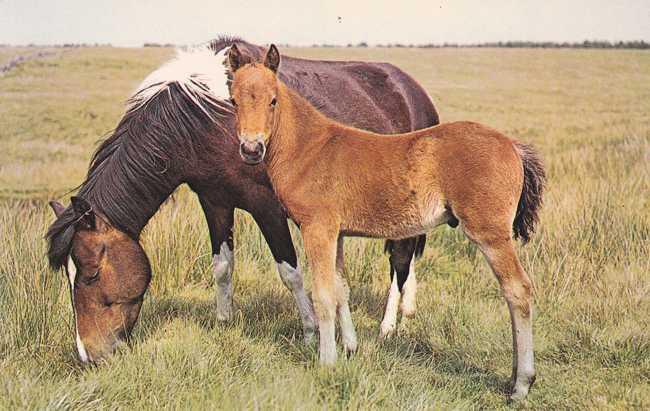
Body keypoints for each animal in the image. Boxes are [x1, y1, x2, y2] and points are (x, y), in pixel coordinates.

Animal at [45, 37, 438, 362]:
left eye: (92, 274)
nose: (88, 355)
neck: (203, 121)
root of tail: (414, 90)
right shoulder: (215, 202)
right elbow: (222, 266)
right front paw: (223, 320)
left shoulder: (268, 208)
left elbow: (290, 272)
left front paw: (310, 331)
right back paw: (407, 307)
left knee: (401, 259)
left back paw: (388, 324)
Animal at [228, 45, 540, 402]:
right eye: (233, 100)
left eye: (273, 100)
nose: (252, 149)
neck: (310, 149)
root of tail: (514, 146)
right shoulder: (337, 234)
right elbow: (342, 289)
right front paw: (350, 347)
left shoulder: (318, 229)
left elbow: (323, 295)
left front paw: (326, 362)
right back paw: (513, 376)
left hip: (490, 234)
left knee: (517, 290)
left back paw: (521, 384)